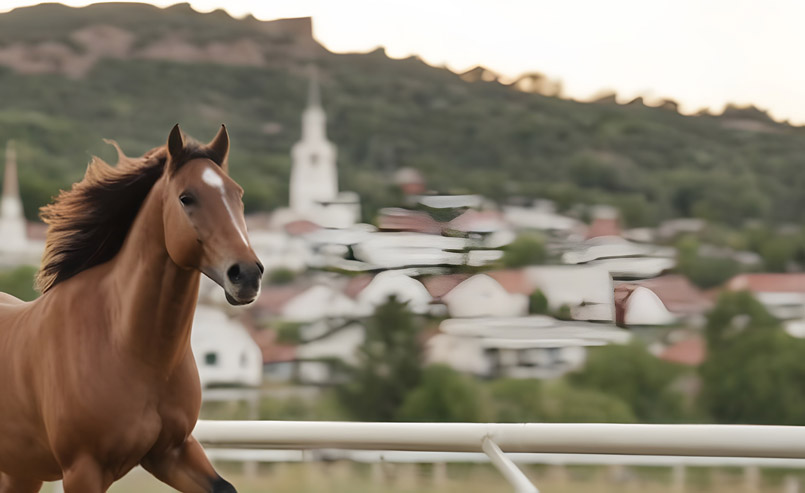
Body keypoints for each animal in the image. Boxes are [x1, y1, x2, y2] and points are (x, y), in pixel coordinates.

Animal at [0, 126, 260, 492]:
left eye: (237, 194)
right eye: (187, 198)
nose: (247, 275)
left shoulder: (173, 452)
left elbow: (224, 486)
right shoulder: (83, 469)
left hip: (22, 471)